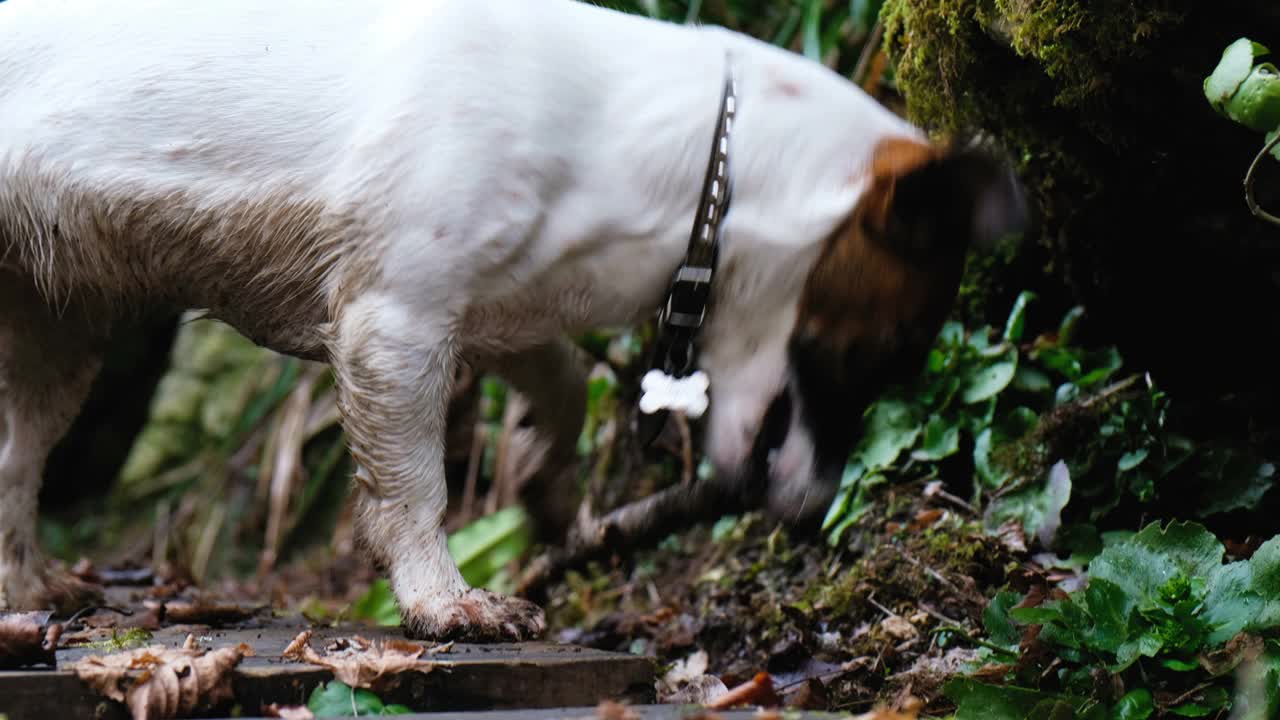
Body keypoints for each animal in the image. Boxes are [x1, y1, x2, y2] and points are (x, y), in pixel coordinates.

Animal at [0, 0, 1018, 638]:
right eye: (883, 353)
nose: (811, 514)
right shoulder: (394, 322)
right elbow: (415, 488)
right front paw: (445, 602)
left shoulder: (498, 313)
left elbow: (561, 387)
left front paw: (540, 478)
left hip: (56, 336)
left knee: (15, 463)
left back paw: (25, 585)